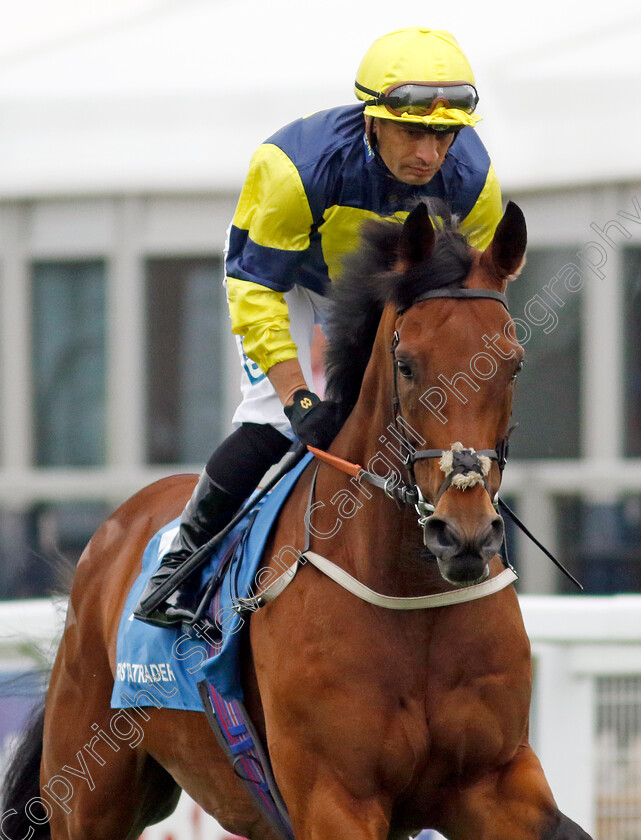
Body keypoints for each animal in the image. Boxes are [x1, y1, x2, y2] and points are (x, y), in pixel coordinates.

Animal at [0, 200, 592, 836]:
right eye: (406, 365)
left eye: (514, 364)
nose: (464, 535)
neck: (411, 598)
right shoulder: (333, 797)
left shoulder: (496, 779)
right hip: (88, 788)